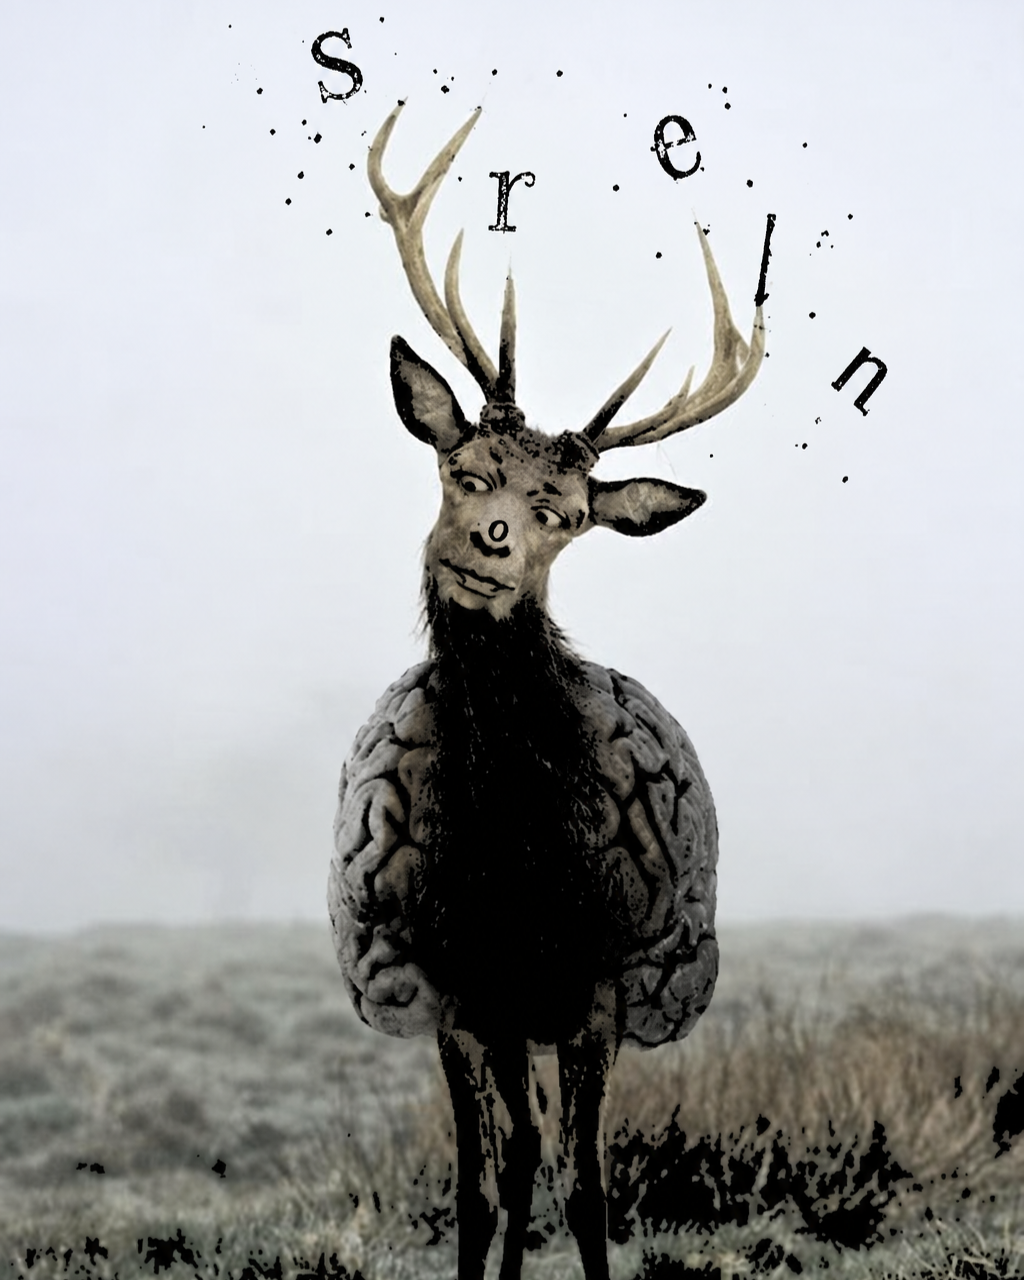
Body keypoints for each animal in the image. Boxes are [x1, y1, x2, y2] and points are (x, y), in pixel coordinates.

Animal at [328, 102, 765, 1280]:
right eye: (463, 468)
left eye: (565, 517)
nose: (488, 544)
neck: (514, 867)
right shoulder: (452, 985)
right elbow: (479, 1191)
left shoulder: (597, 983)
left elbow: (587, 1188)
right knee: (514, 1154)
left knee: (543, 1154)